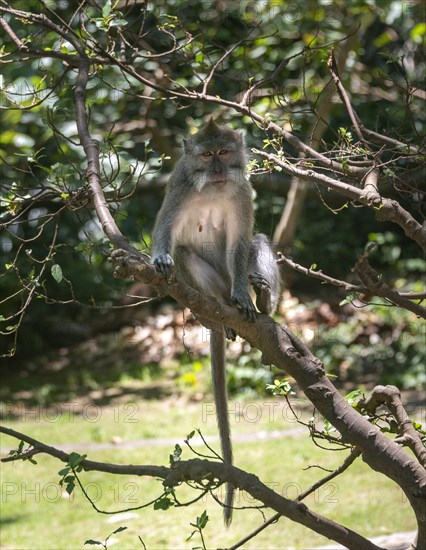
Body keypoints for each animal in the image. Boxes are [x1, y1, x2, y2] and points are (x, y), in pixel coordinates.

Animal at [151, 121, 282, 528]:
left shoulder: (242, 192)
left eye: (224, 152)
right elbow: (165, 228)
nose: (219, 168)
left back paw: (259, 300)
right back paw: (220, 313)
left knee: (257, 242)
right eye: (207, 155)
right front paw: (160, 256)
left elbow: (241, 240)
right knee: (184, 253)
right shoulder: (179, 184)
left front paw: (248, 293)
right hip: (202, 290)